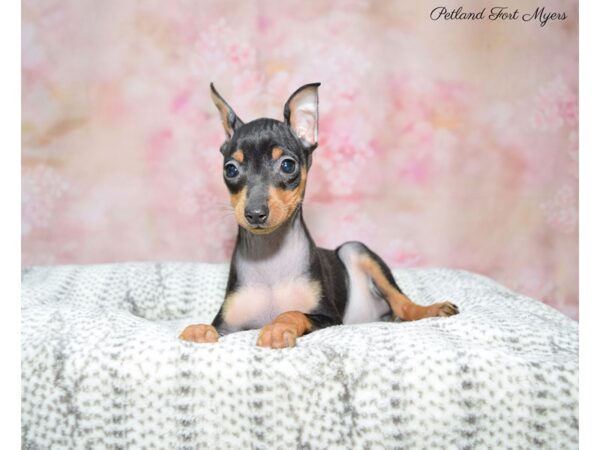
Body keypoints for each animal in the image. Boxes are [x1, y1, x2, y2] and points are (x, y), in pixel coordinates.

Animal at [179, 85, 460, 352]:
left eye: (288, 165)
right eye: (230, 170)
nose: (255, 213)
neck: (270, 255)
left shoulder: (328, 317)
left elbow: (291, 312)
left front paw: (276, 328)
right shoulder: (227, 324)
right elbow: (208, 326)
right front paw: (196, 330)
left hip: (354, 249)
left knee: (403, 303)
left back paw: (431, 309)